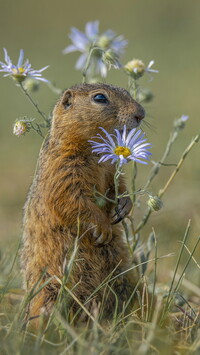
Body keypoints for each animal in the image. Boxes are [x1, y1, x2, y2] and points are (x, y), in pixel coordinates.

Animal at [21, 83, 145, 328]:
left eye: (127, 92)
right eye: (100, 98)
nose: (141, 114)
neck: (93, 150)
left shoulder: (110, 168)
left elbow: (118, 186)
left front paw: (124, 206)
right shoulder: (63, 167)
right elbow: (72, 199)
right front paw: (103, 228)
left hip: (124, 278)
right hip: (52, 290)